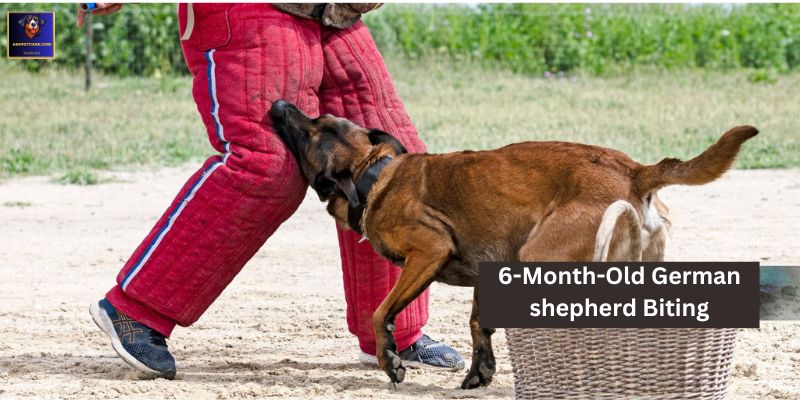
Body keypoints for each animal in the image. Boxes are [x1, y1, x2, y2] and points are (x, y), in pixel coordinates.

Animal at [268, 99, 756, 388]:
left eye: (313, 127)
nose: (278, 102)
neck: (375, 175)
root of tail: (635, 170)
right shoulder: (489, 268)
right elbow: (477, 322)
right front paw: (479, 372)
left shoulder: (428, 251)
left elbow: (379, 313)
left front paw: (391, 362)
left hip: (541, 257)